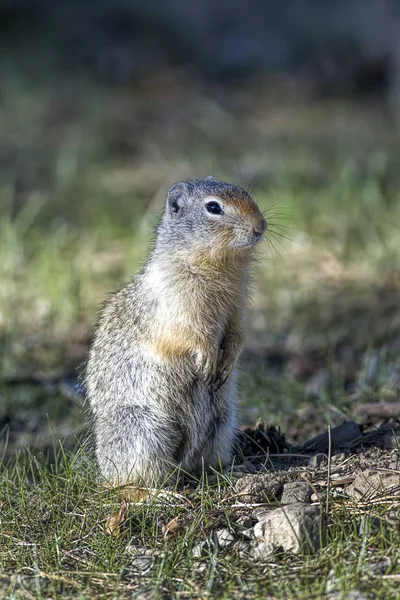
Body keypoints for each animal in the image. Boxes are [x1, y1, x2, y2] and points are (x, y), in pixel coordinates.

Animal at [87, 177, 268, 488]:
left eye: (245, 193)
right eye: (213, 207)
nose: (261, 227)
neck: (219, 266)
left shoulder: (237, 307)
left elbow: (238, 333)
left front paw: (226, 362)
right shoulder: (179, 307)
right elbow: (191, 334)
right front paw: (207, 359)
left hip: (222, 423)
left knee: (201, 462)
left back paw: (231, 470)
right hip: (144, 430)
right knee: (135, 481)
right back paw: (161, 493)